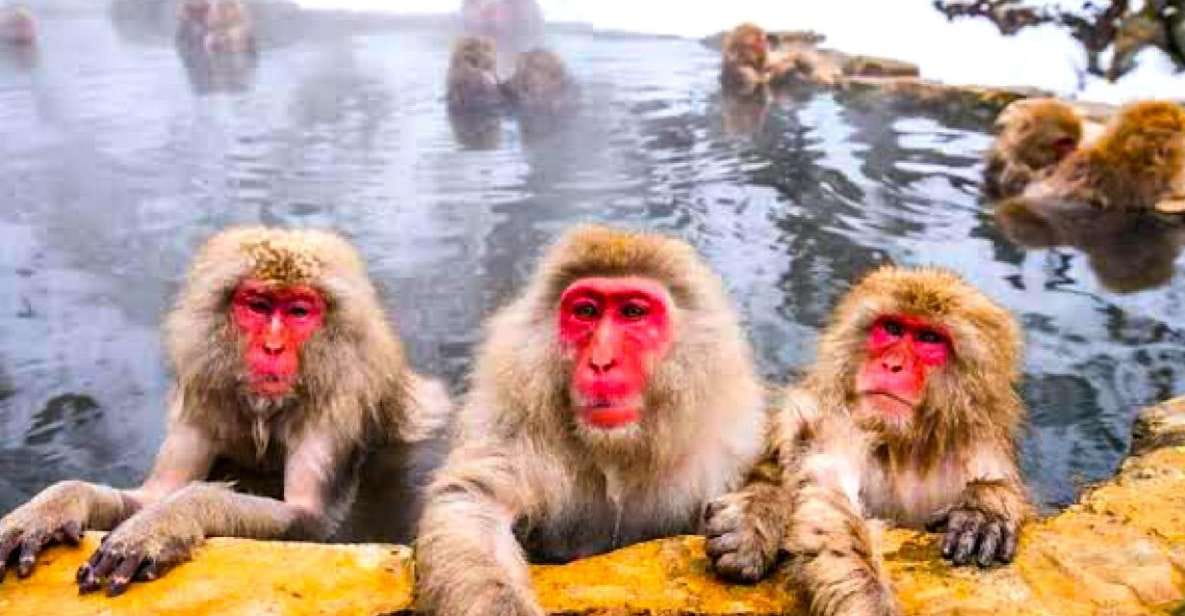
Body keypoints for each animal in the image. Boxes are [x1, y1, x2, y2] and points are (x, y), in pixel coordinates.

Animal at [0, 227, 450, 596]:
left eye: (298, 312)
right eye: (258, 305)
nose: (272, 348)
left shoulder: (337, 406)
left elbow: (312, 520)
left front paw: (170, 519)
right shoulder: (205, 398)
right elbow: (152, 494)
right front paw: (55, 505)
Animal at [415, 224, 767, 616]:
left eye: (632, 312)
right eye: (586, 311)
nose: (601, 362)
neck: (616, 452)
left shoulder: (732, 443)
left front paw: (755, 520)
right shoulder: (512, 422)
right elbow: (473, 505)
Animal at [703, 266, 1030, 616]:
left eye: (929, 339)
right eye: (892, 328)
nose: (892, 365)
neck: (903, 447)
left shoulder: (978, 444)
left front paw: (984, 508)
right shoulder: (830, 419)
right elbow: (828, 504)